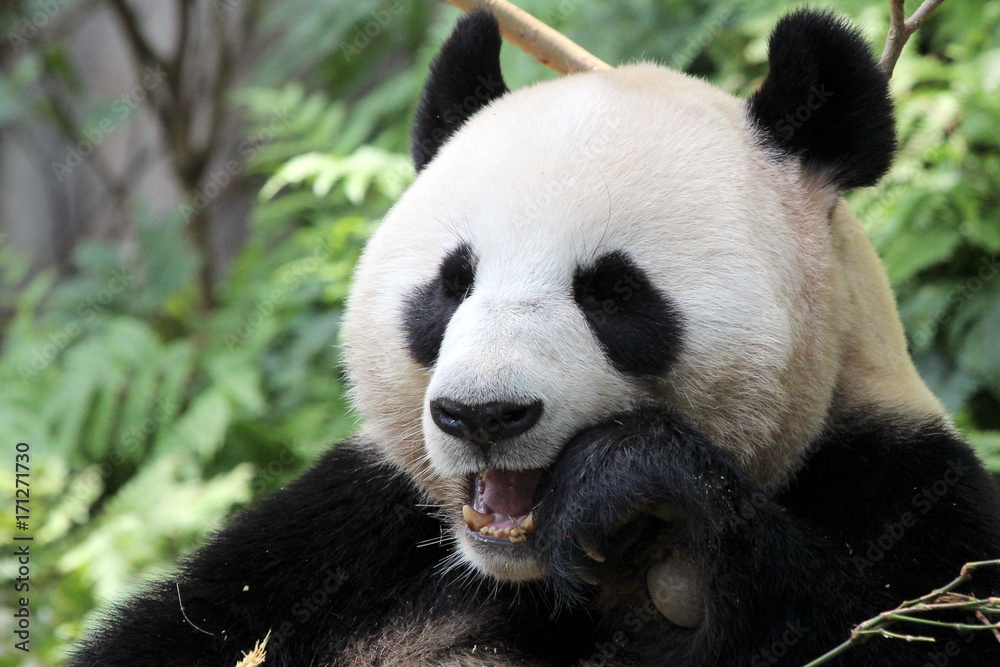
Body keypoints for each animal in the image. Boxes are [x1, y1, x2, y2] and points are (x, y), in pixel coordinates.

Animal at [71, 9, 1000, 667]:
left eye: (613, 292)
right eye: (452, 283)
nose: (483, 415)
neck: (521, 575)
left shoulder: (905, 489)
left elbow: (894, 626)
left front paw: (647, 513)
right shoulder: (344, 531)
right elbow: (184, 630)